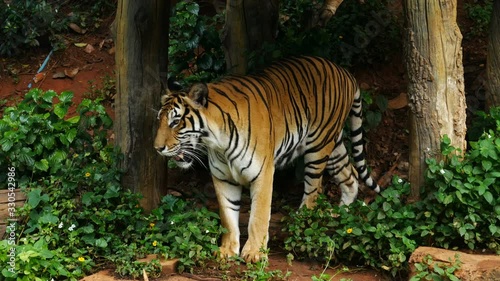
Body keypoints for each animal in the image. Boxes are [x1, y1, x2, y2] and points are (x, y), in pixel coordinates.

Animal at [154, 55, 380, 262]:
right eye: (159, 120)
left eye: (175, 122)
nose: (157, 148)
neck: (217, 142)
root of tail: (344, 72)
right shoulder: (223, 178)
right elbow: (228, 215)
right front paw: (227, 250)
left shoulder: (262, 172)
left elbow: (258, 216)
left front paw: (254, 253)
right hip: (333, 144)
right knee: (350, 176)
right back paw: (342, 217)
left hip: (318, 147)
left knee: (313, 191)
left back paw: (302, 222)